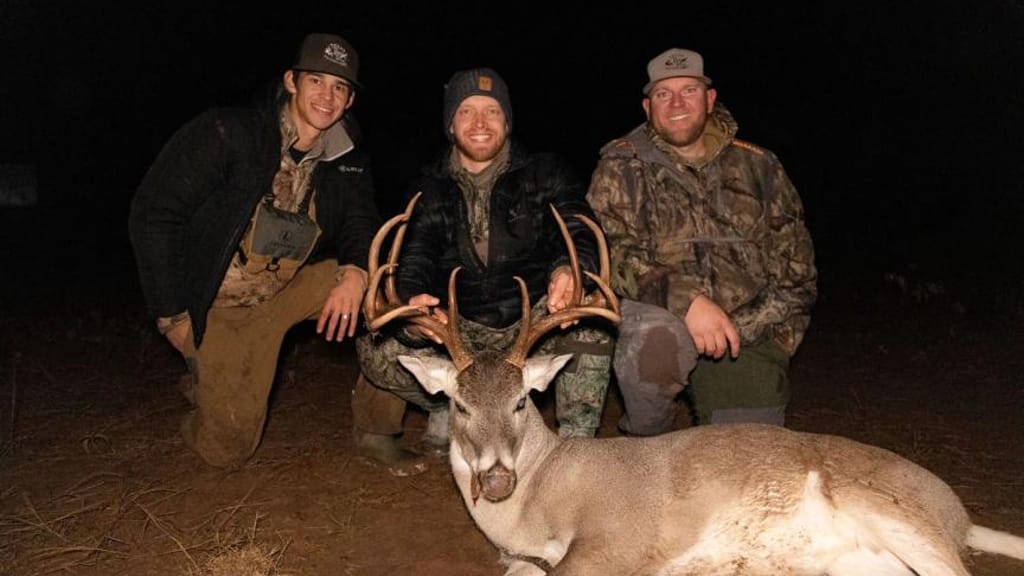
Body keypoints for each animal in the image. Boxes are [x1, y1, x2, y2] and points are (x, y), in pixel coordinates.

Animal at [362, 194, 1024, 575]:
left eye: (524, 400)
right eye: (460, 404)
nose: (497, 479)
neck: (542, 495)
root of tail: (959, 514)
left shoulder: (619, 539)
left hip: (894, 512)